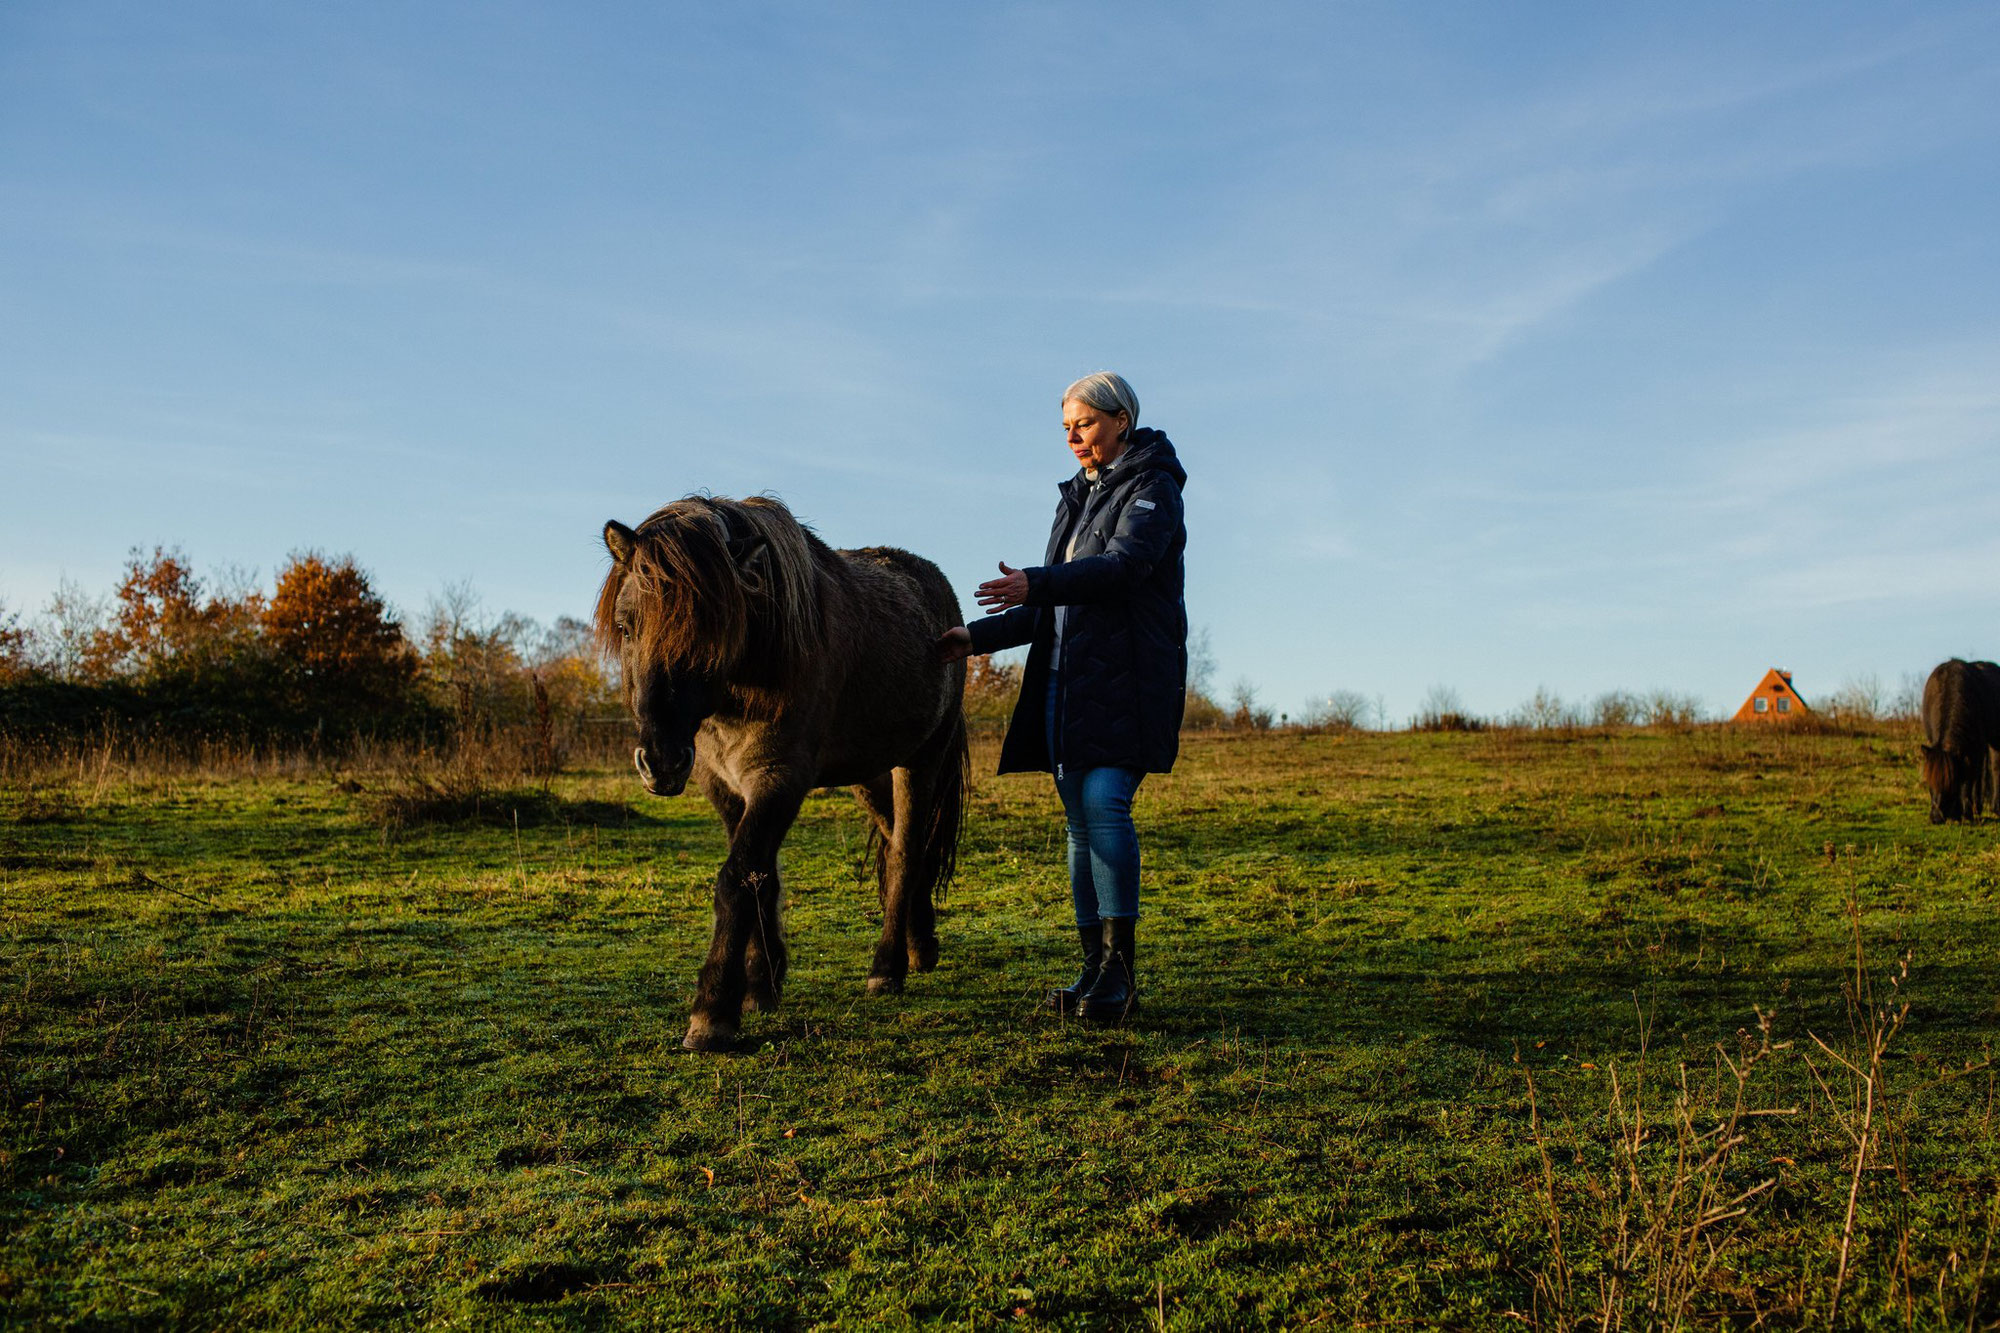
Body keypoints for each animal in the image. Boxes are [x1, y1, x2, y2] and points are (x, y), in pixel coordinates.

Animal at [592, 490, 968, 1048]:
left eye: (713, 632)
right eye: (626, 627)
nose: (661, 762)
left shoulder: (779, 779)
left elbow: (737, 878)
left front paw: (713, 1012)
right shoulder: (725, 786)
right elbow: (759, 876)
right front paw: (762, 984)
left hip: (920, 761)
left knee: (905, 851)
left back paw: (887, 967)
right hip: (869, 772)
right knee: (900, 841)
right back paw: (920, 945)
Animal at [1920, 652, 2000, 820]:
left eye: (1950, 783)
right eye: (1929, 782)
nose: (1936, 816)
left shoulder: (1975, 747)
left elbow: (1970, 777)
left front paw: (1966, 811)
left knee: (1993, 768)